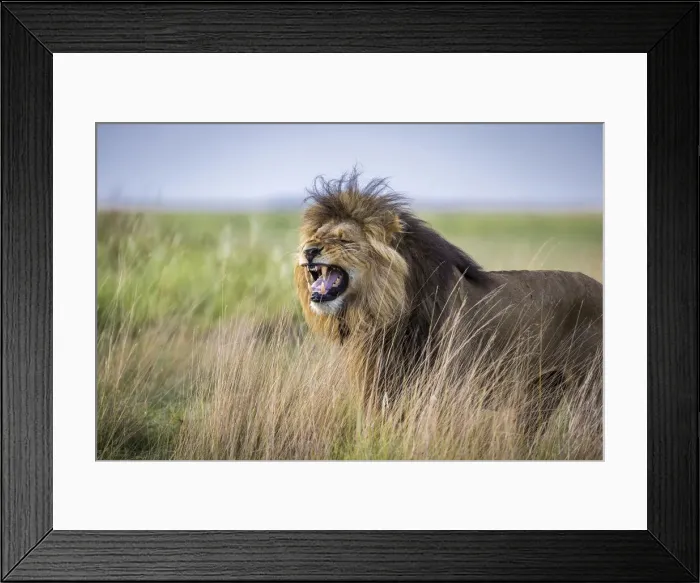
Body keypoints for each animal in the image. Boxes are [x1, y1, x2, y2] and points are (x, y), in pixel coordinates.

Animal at [294, 170, 603, 434]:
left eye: (344, 240)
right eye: (315, 236)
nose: (309, 251)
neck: (387, 315)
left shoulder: (444, 391)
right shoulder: (380, 389)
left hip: (591, 394)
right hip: (539, 396)